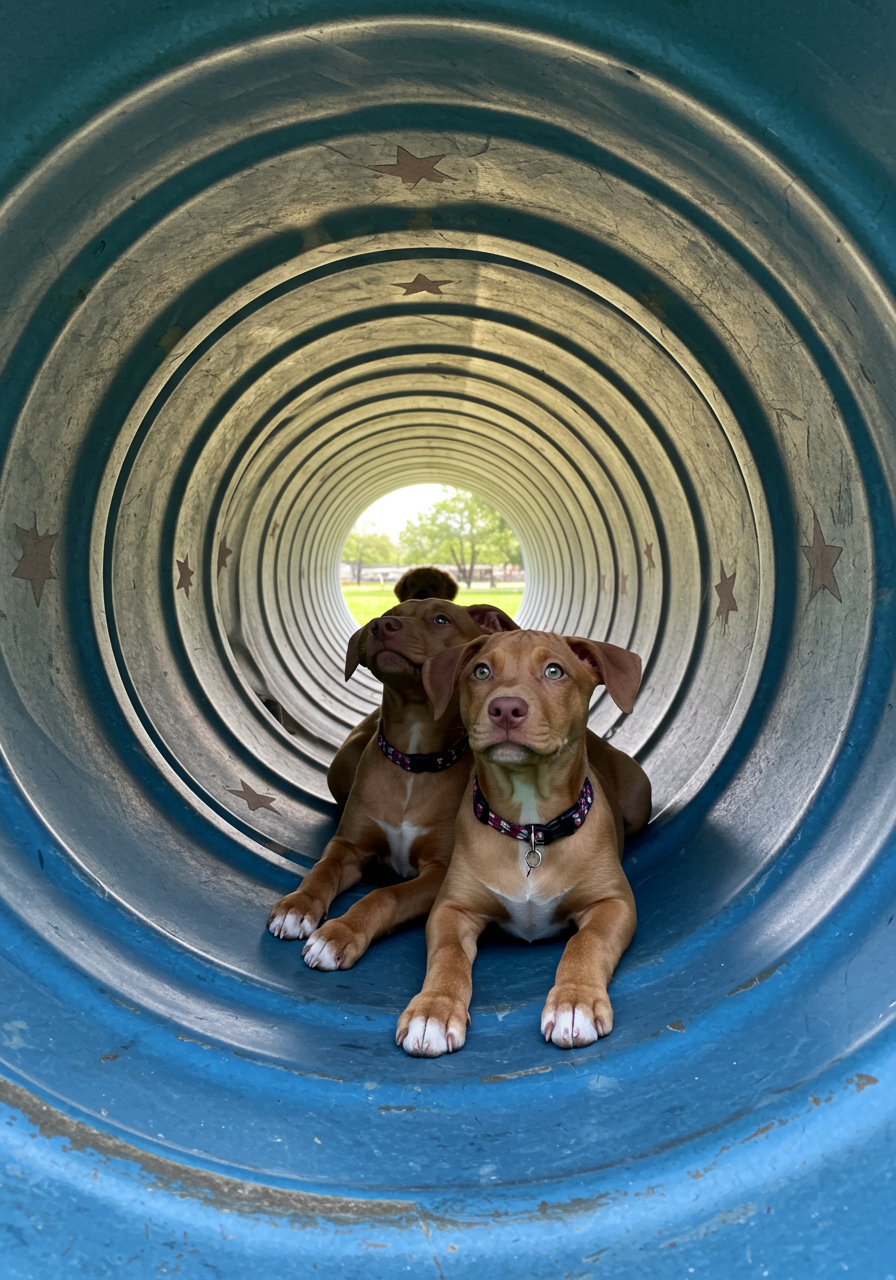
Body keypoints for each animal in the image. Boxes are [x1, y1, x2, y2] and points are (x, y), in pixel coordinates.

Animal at [268, 598, 518, 971]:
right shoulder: (348, 847)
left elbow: (386, 895)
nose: (380, 625)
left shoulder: (440, 873)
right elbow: (322, 869)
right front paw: (297, 905)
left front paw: (338, 934)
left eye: (441, 619)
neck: (413, 762)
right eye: (389, 614)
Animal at [396, 628, 650, 1056]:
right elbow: (447, 955)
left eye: (554, 670)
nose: (506, 709)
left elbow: (586, 942)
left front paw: (574, 1002)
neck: (529, 829)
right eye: (481, 671)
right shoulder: (452, 908)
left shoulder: (613, 902)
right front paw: (433, 1010)